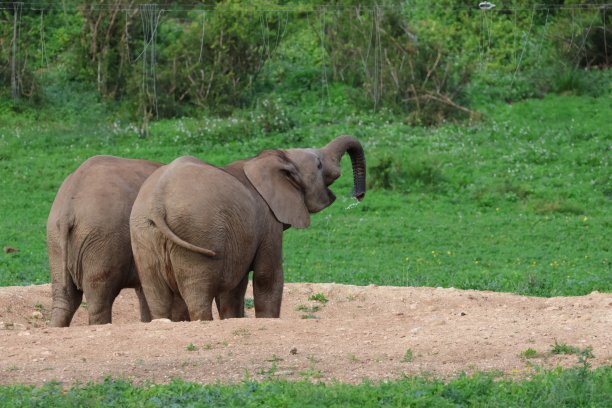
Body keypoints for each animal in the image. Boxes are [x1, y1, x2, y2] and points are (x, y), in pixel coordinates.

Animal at [130, 135, 366, 320]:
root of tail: (157, 202)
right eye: (318, 165)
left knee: (156, 294)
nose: (359, 195)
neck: (268, 159)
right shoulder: (268, 221)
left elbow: (235, 287)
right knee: (198, 294)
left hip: (143, 234)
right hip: (196, 231)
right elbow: (266, 276)